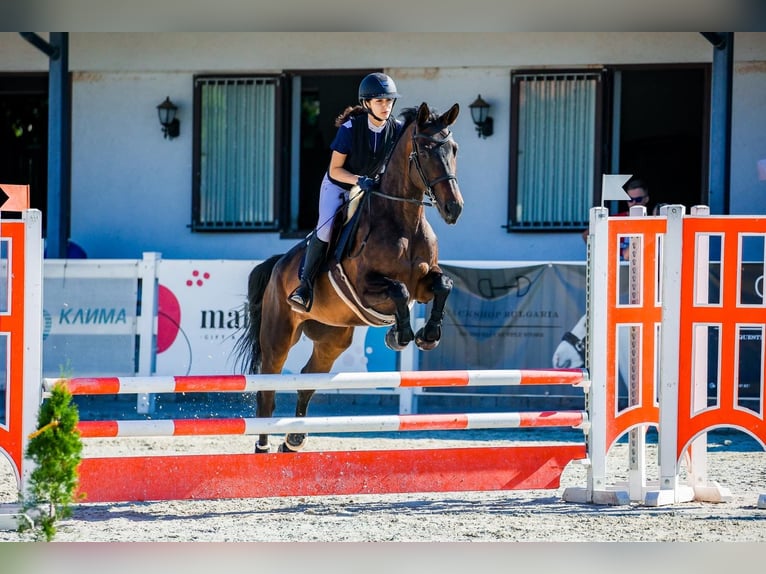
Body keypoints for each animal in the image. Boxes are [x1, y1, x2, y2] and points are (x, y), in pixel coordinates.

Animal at [234, 102, 462, 454]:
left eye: (453, 149)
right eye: (424, 151)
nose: (454, 208)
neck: (404, 221)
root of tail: (277, 266)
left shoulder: (423, 285)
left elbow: (443, 285)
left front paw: (429, 334)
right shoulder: (367, 288)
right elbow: (397, 290)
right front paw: (400, 335)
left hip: (333, 338)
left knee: (307, 380)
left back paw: (293, 440)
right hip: (278, 334)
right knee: (267, 390)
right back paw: (263, 447)